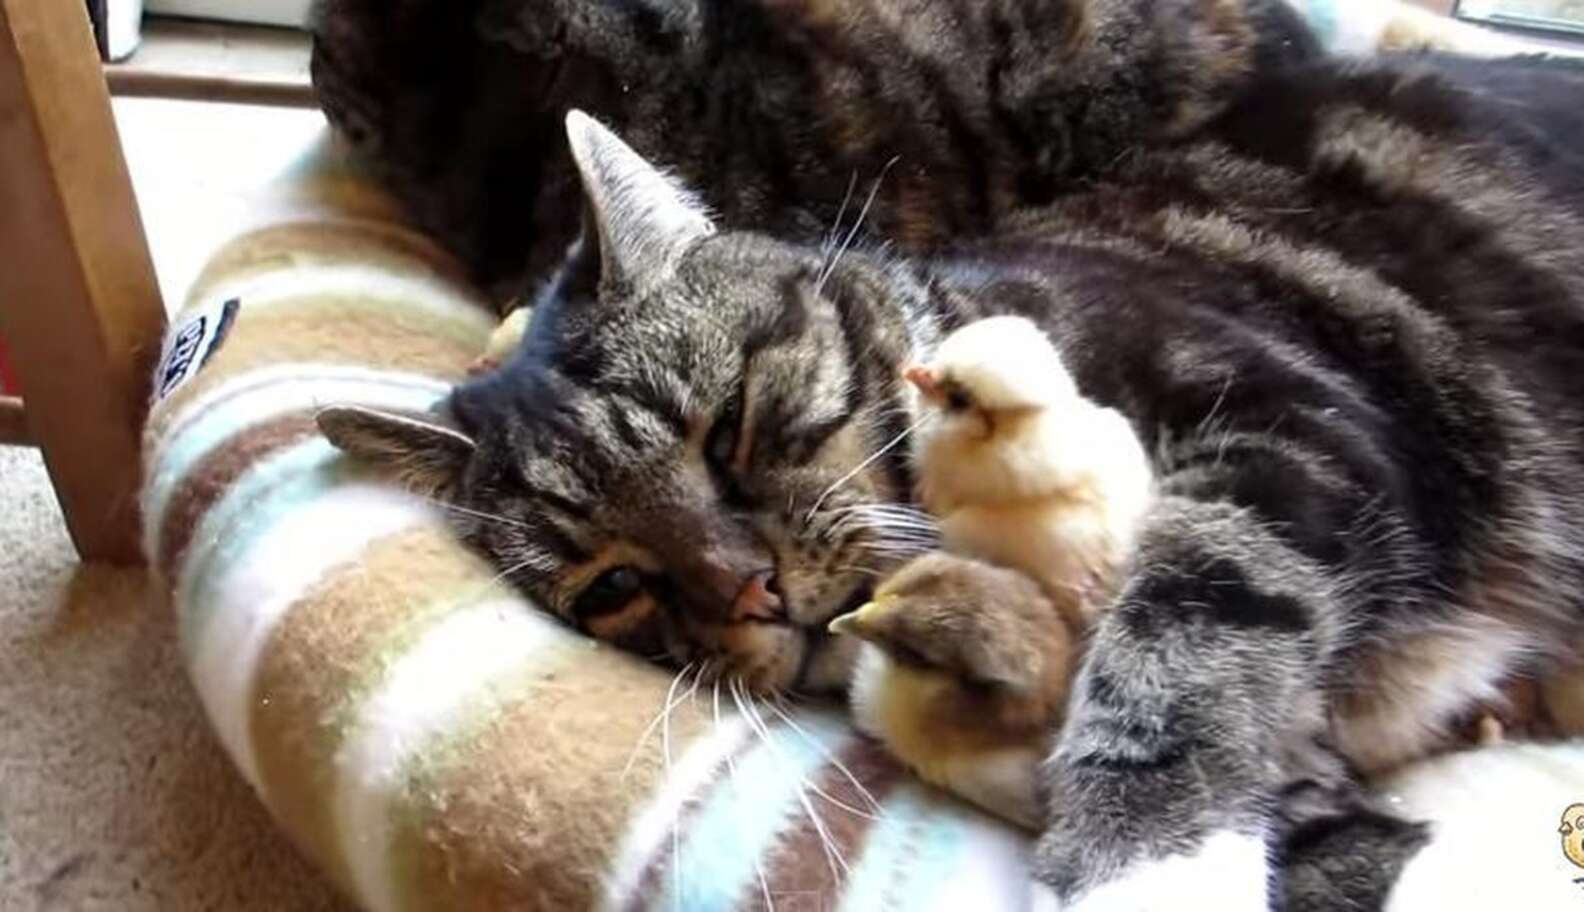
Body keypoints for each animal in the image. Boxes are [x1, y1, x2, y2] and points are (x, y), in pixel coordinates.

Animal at [305, 1, 1584, 912]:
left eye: (729, 425)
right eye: (615, 583)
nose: (750, 589)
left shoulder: (1292, 426)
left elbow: (1189, 638)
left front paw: (1140, 868)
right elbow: (1313, 814)